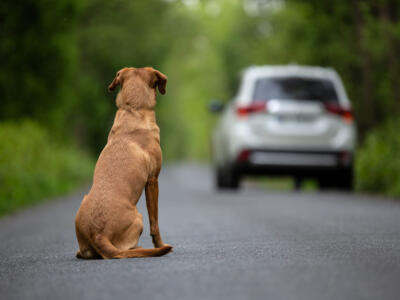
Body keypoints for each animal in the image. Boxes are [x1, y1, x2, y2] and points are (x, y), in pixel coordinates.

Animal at [75, 67, 172, 258]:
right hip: (139, 217)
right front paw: (160, 244)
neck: (133, 108)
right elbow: (155, 223)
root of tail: (98, 235)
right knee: (127, 249)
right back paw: (143, 248)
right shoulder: (152, 181)